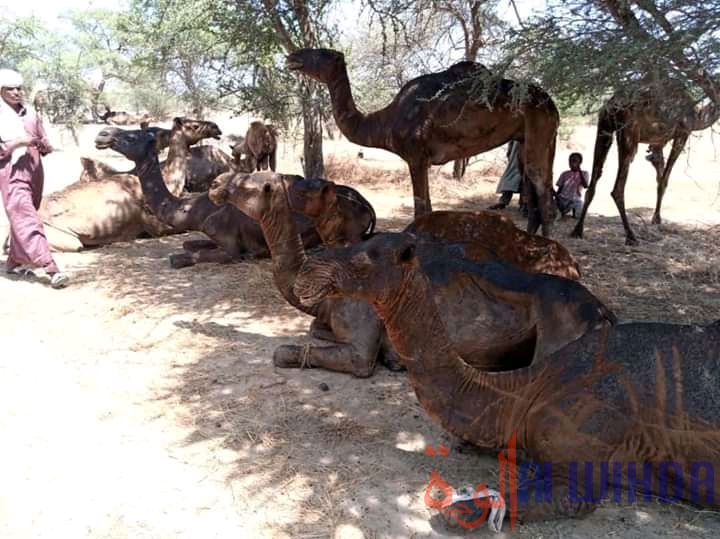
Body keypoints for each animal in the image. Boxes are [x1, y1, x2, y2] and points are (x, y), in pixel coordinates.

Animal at [93, 120, 320, 268]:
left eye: (131, 136)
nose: (103, 133)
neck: (196, 211)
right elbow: (188, 244)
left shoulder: (228, 244)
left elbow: (182, 258)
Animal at [208, 173, 612, 380]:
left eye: (243, 182)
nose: (214, 184)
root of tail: (603, 312)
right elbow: (314, 330)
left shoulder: (361, 335)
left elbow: (292, 353)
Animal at [286, 48, 564, 236]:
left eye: (320, 53)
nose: (292, 56)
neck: (386, 120)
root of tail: (552, 105)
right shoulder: (423, 160)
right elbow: (427, 207)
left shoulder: (416, 156)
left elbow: (422, 208)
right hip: (531, 138)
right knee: (535, 191)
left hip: (539, 130)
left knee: (542, 192)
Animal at [572, 86, 716, 245]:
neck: (698, 115)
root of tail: (612, 104)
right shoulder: (682, 133)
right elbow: (664, 180)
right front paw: (656, 219)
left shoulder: (658, 142)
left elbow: (659, 177)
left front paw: (656, 219)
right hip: (629, 135)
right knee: (618, 188)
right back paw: (631, 236)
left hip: (604, 128)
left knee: (593, 181)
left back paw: (577, 231)